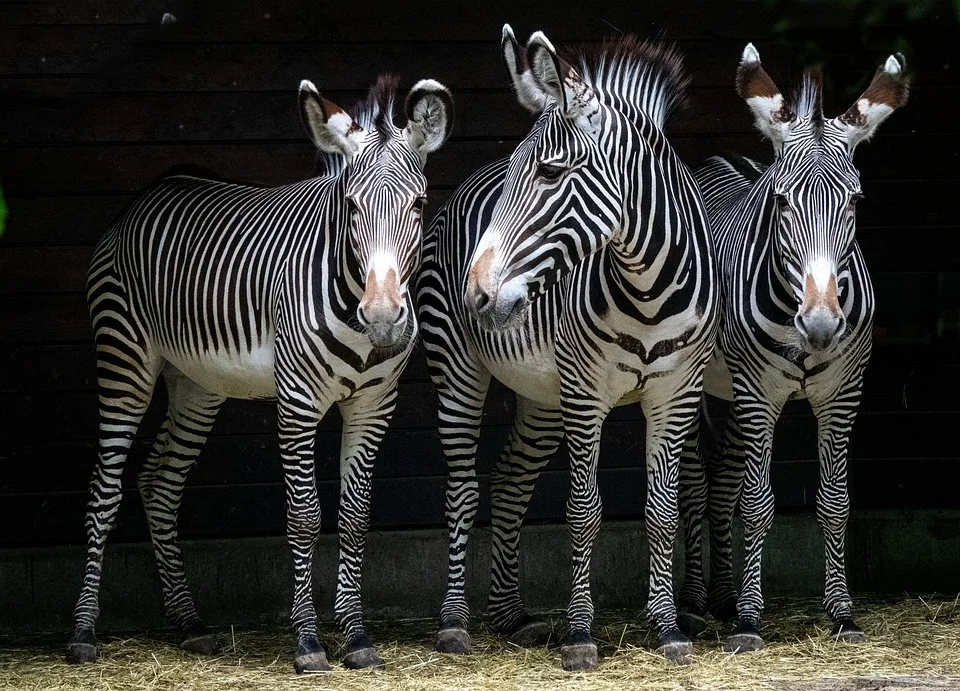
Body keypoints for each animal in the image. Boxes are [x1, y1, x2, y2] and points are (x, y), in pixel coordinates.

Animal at [64, 74, 454, 672]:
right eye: (351, 206)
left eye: (419, 203)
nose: (385, 318)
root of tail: (151, 191)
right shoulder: (296, 401)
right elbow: (304, 517)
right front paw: (310, 643)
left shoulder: (374, 405)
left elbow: (356, 516)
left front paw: (357, 638)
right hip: (124, 356)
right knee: (103, 490)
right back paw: (84, 632)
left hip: (196, 383)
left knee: (159, 482)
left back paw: (190, 624)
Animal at [416, 27, 716, 672]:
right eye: (519, 174)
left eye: (551, 173)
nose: (477, 294)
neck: (649, 287)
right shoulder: (585, 394)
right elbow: (584, 510)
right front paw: (581, 635)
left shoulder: (676, 393)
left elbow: (662, 509)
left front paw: (668, 628)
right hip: (460, 372)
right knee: (461, 489)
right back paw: (455, 624)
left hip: (542, 396)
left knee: (509, 481)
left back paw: (509, 616)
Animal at [676, 44, 908, 656]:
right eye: (781, 201)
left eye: (855, 201)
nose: (821, 325)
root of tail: (717, 160)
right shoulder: (760, 394)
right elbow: (758, 504)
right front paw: (749, 623)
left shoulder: (843, 395)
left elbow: (835, 501)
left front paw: (842, 614)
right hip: (694, 382)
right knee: (694, 482)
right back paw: (694, 605)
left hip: (729, 392)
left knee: (722, 479)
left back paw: (720, 597)